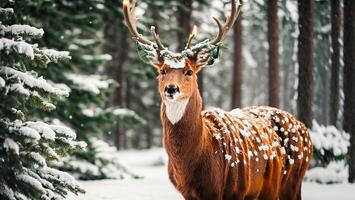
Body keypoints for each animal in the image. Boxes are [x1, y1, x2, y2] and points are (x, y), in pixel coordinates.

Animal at [124, 0, 312, 199]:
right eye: (162, 71)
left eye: (189, 71)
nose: (171, 89)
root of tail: (304, 128)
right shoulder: (187, 193)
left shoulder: (233, 189)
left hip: (292, 180)